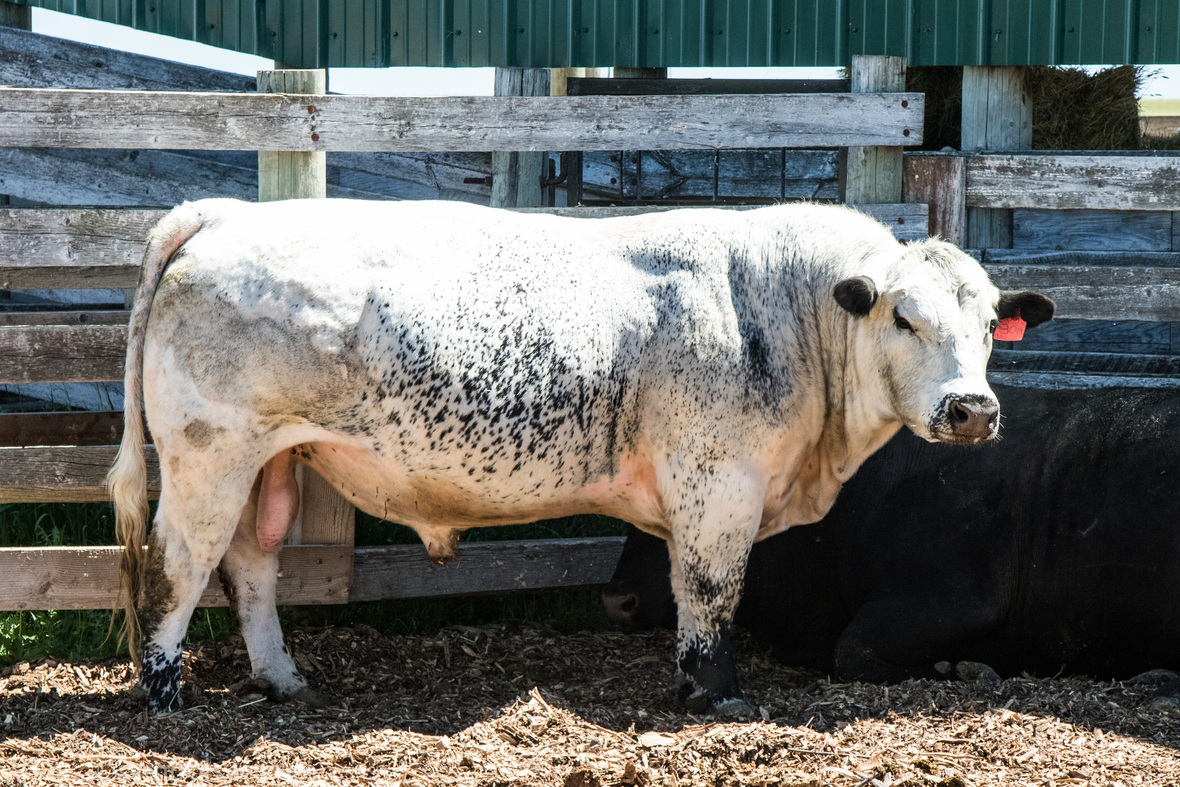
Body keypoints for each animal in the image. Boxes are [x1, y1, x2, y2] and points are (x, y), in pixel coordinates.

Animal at [107, 198, 1053, 715]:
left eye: (987, 324)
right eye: (904, 315)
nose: (971, 410)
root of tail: (228, 213)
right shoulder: (719, 484)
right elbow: (711, 592)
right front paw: (717, 693)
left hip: (271, 459)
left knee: (251, 561)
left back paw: (281, 678)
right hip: (207, 456)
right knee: (176, 564)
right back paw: (166, 690)